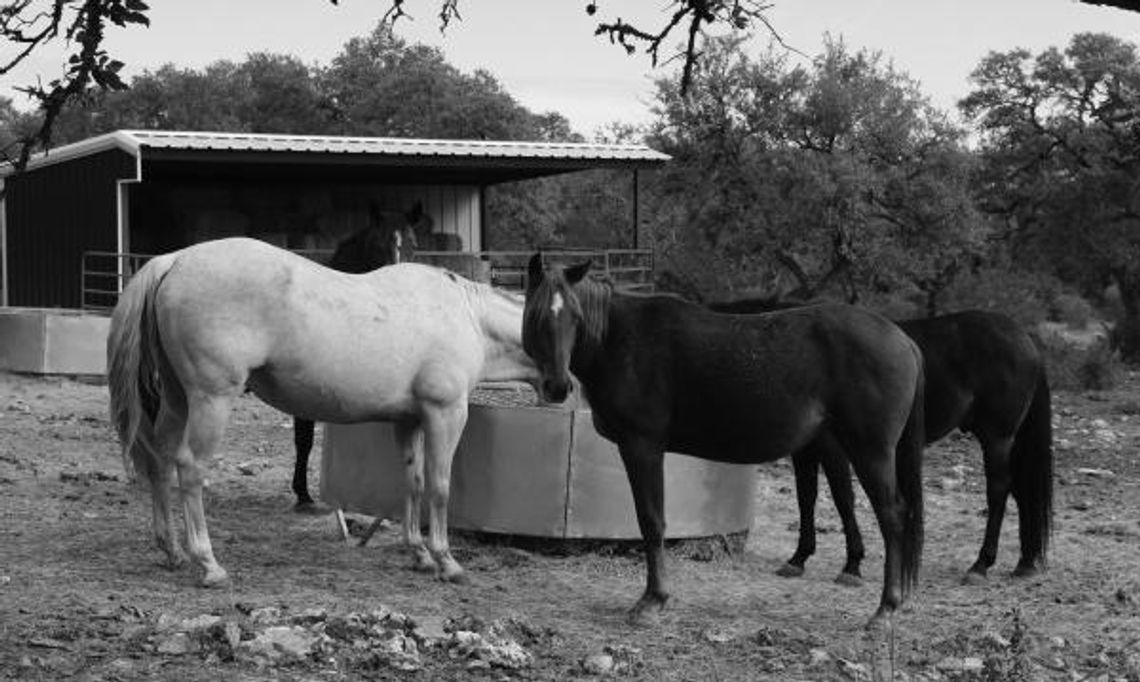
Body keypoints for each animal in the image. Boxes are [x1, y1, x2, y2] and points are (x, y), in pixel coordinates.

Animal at [106, 239, 538, 588]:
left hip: (177, 399)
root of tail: (174, 259)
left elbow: (413, 482)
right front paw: (446, 560)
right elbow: (440, 487)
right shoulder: (445, 415)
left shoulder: (409, 421)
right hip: (210, 400)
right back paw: (208, 563)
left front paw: (418, 553)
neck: (467, 315)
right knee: (190, 468)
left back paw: (173, 551)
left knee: (160, 462)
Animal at [524, 257, 925, 629]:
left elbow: (651, 521)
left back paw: (885, 608)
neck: (619, 340)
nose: (557, 387)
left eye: (574, 316)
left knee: (892, 516)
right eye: (538, 314)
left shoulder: (642, 447)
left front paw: (653, 600)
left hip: (871, 452)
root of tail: (904, 340)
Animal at [711, 298, 1048, 588]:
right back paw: (1025, 563)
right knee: (1022, 491)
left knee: (999, 490)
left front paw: (852, 564)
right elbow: (806, 496)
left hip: (997, 438)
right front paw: (799, 558)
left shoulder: (832, 448)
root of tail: (1025, 337)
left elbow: (842, 497)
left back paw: (980, 565)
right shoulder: (805, 450)